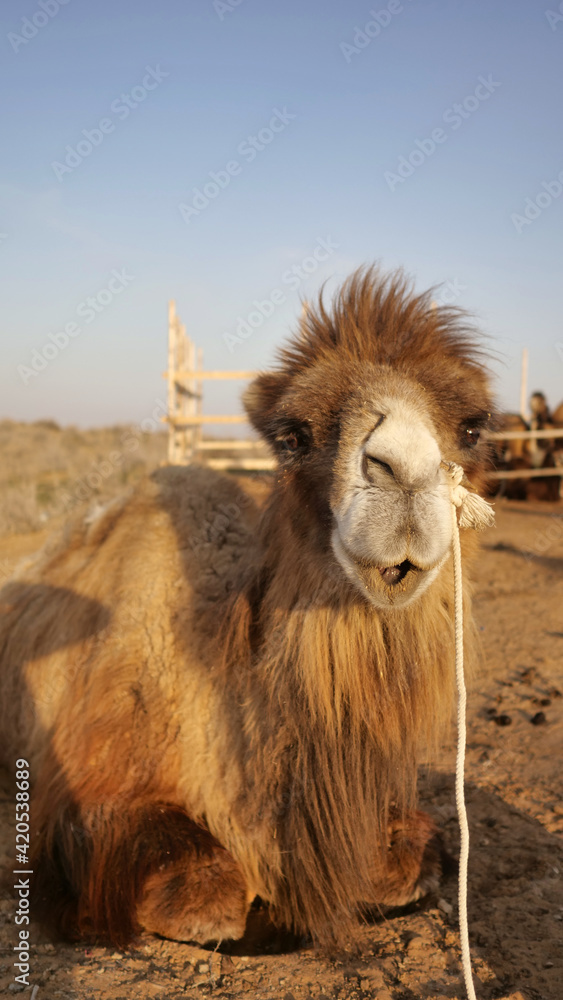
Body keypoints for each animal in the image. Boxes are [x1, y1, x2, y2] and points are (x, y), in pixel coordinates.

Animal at [0, 268, 495, 950]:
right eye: (293, 437)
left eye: (473, 428)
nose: (402, 472)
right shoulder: (85, 773)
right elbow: (199, 886)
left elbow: (408, 855)